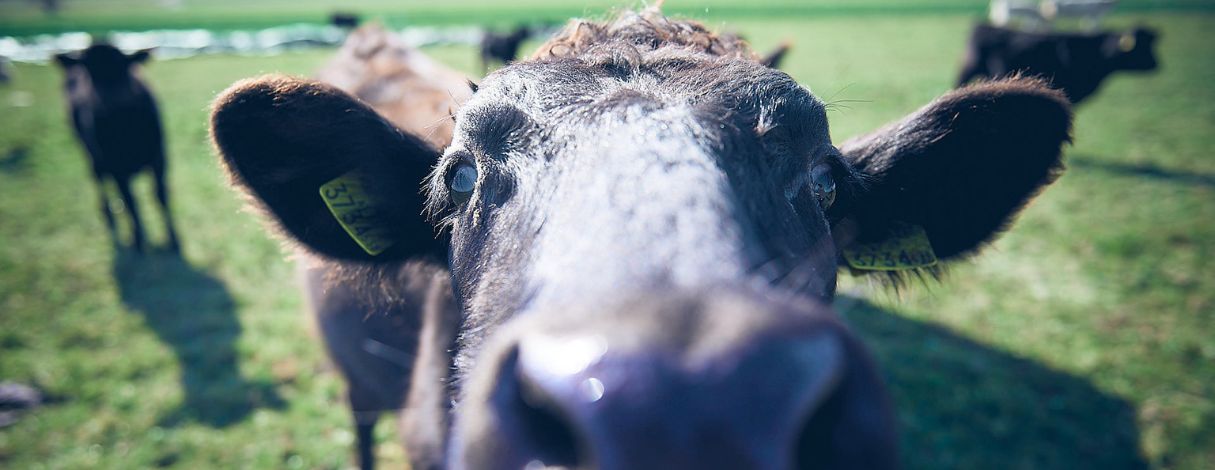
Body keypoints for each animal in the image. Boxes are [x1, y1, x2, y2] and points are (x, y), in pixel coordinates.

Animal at [55, 44, 179, 253]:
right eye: (90, 72)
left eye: (123, 67)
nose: (109, 101)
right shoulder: (116, 167)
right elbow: (130, 202)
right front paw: (138, 239)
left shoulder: (160, 157)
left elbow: (160, 196)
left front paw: (174, 239)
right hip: (89, 153)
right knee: (98, 177)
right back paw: (108, 214)